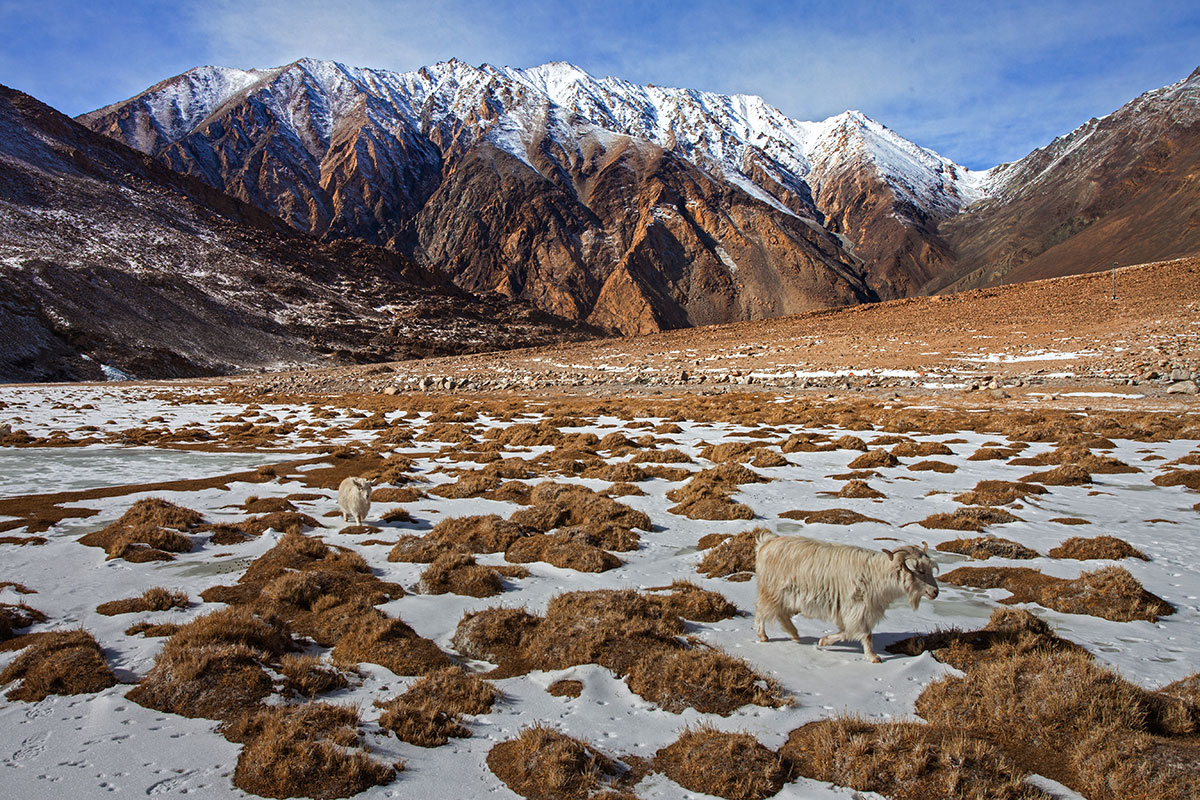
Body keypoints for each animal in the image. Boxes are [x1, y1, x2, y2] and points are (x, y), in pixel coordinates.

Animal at [748, 532, 936, 662]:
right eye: (920, 570)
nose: (935, 592)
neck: (877, 575)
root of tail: (765, 544)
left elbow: (848, 631)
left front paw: (824, 641)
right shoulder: (858, 608)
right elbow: (862, 633)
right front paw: (873, 657)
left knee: (781, 614)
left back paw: (794, 635)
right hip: (771, 592)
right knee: (762, 610)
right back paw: (763, 636)